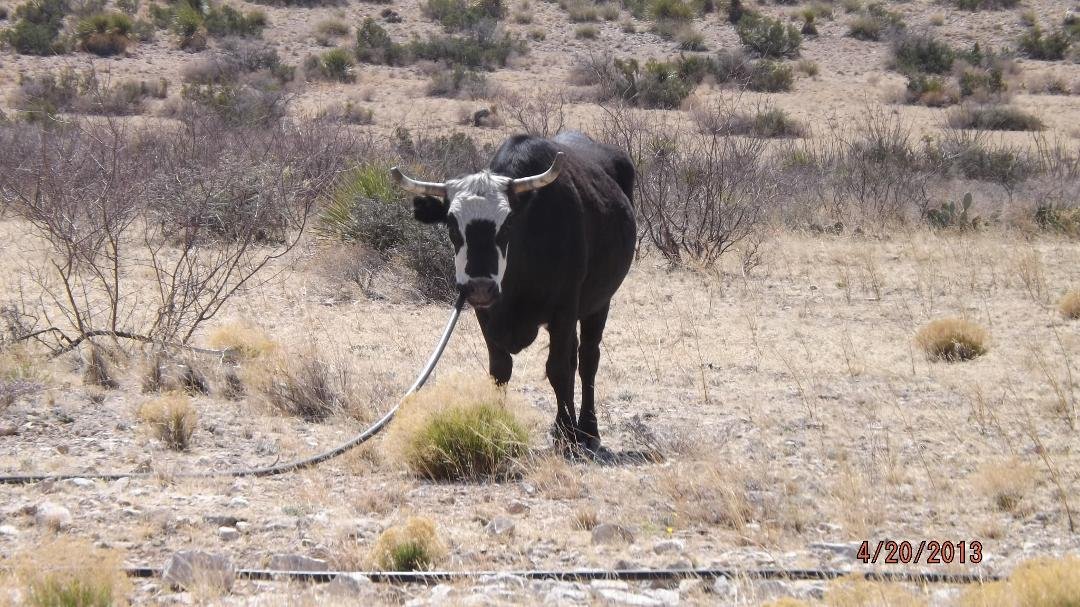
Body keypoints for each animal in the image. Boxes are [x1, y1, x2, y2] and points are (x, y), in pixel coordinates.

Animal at [390, 132, 636, 453]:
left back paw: (587, 430)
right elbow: (500, 369)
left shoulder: (564, 310)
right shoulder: (486, 313)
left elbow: (558, 369)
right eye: (452, 226)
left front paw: (570, 435)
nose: (480, 286)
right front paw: (496, 426)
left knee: (586, 360)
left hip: (599, 303)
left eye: (507, 225)